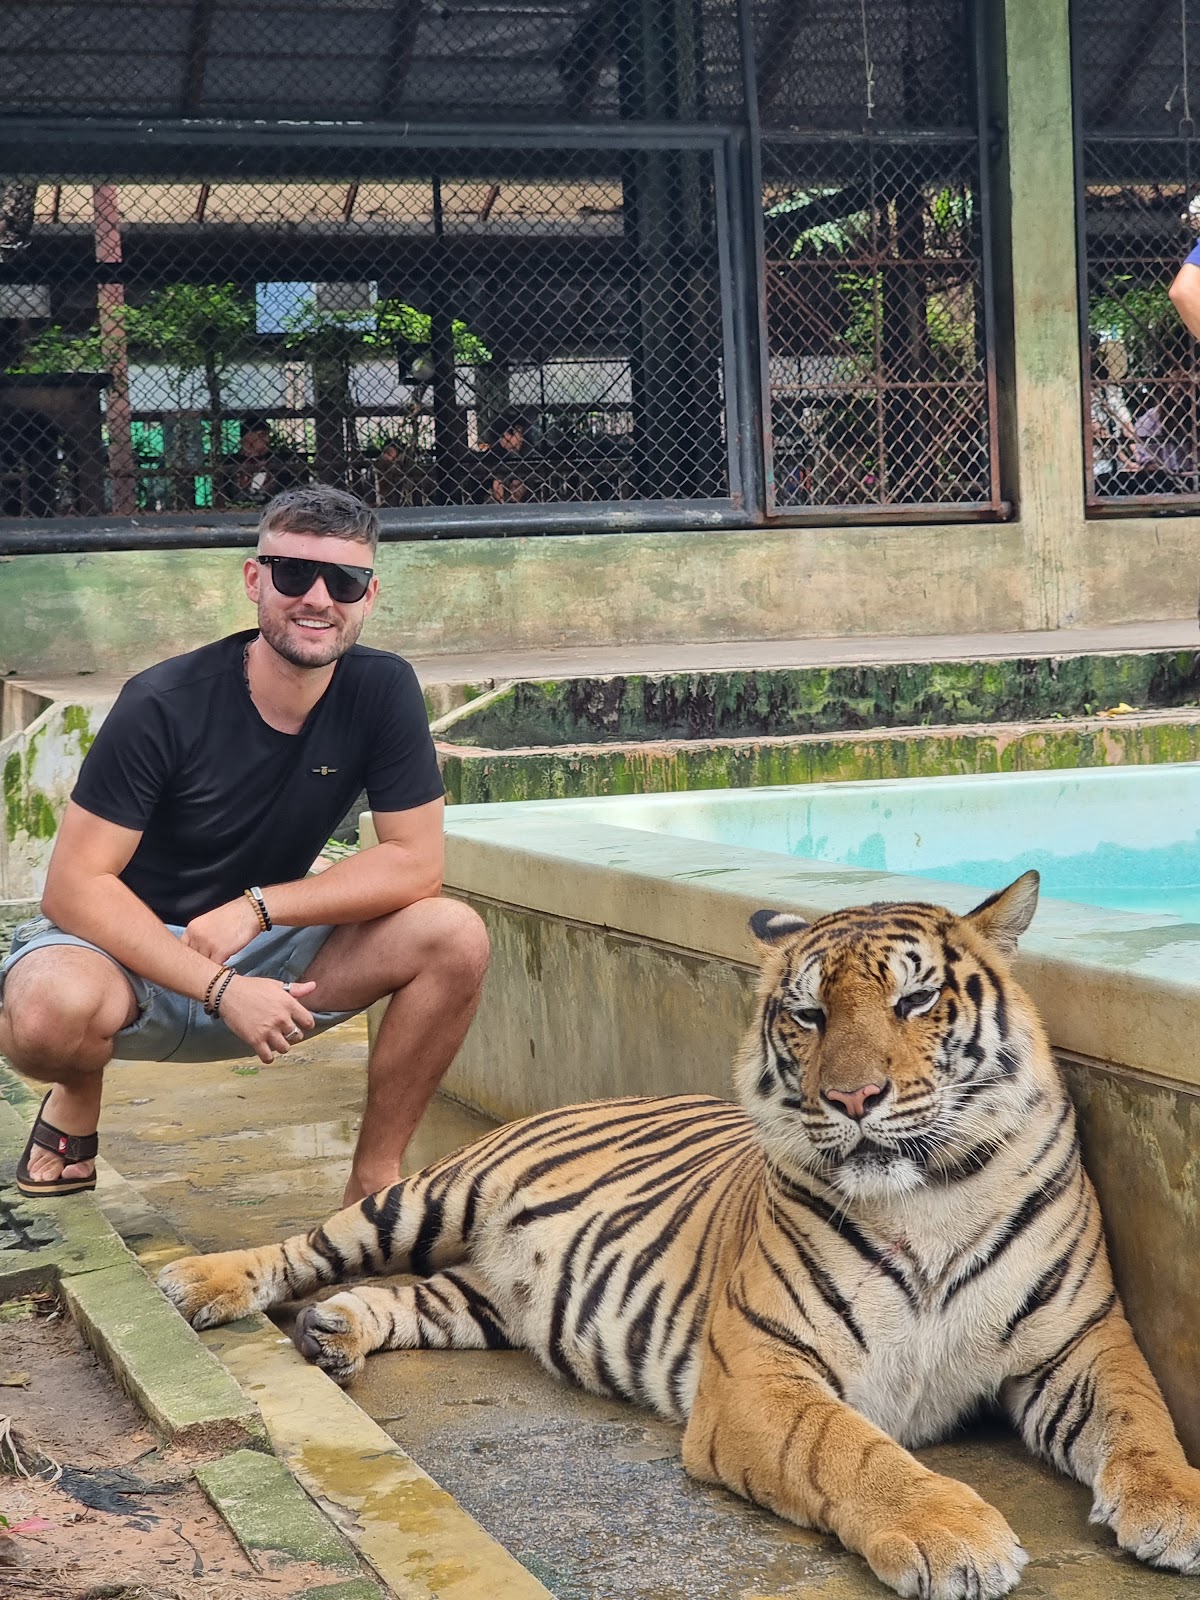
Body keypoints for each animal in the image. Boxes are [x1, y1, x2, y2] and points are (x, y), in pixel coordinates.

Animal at [158, 870, 1200, 1599]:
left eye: (914, 1002)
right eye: (808, 1014)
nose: (854, 1098)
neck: (930, 1196)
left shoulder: (1081, 1340)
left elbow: (1140, 1419)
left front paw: (1180, 1510)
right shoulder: (763, 1373)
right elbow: (854, 1450)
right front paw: (957, 1535)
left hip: (484, 1301)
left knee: (404, 1297)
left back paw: (335, 1331)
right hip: (428, 1196)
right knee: (309, 1247)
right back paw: (200, 1285)